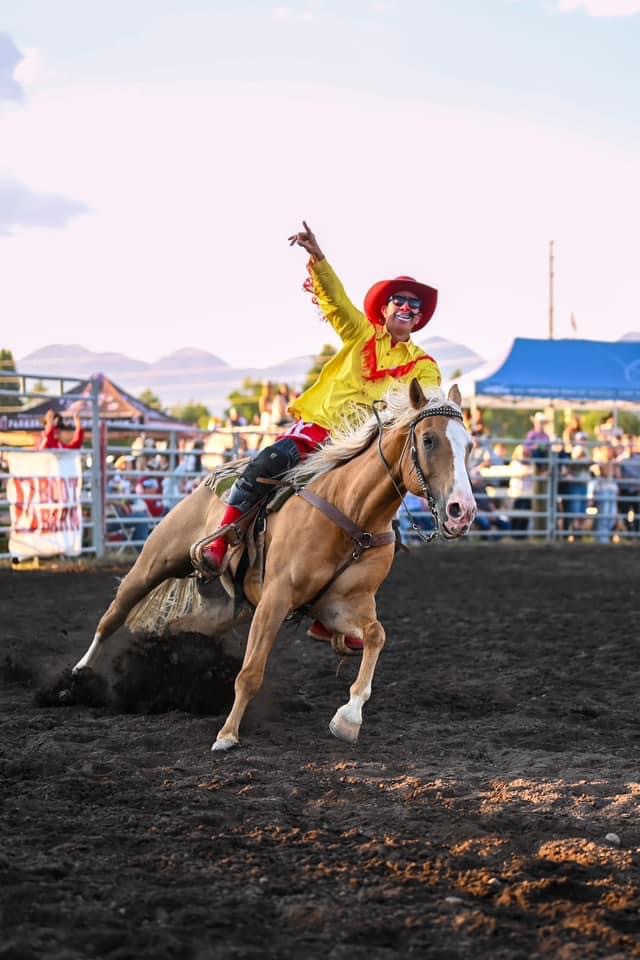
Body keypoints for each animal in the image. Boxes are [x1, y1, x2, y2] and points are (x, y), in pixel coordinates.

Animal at [75, 380, 476, 752]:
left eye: (469, 445)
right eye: (428, 439)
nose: (463, 511)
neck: (351, 512)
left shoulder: (343, 605)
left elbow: (377, 635)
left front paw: (348, 717)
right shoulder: (275, 598)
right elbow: (250, 672)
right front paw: (227, 735)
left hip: (226, 611)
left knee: (178, 625)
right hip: (154, 562)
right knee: (113, 615)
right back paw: (78, 676)